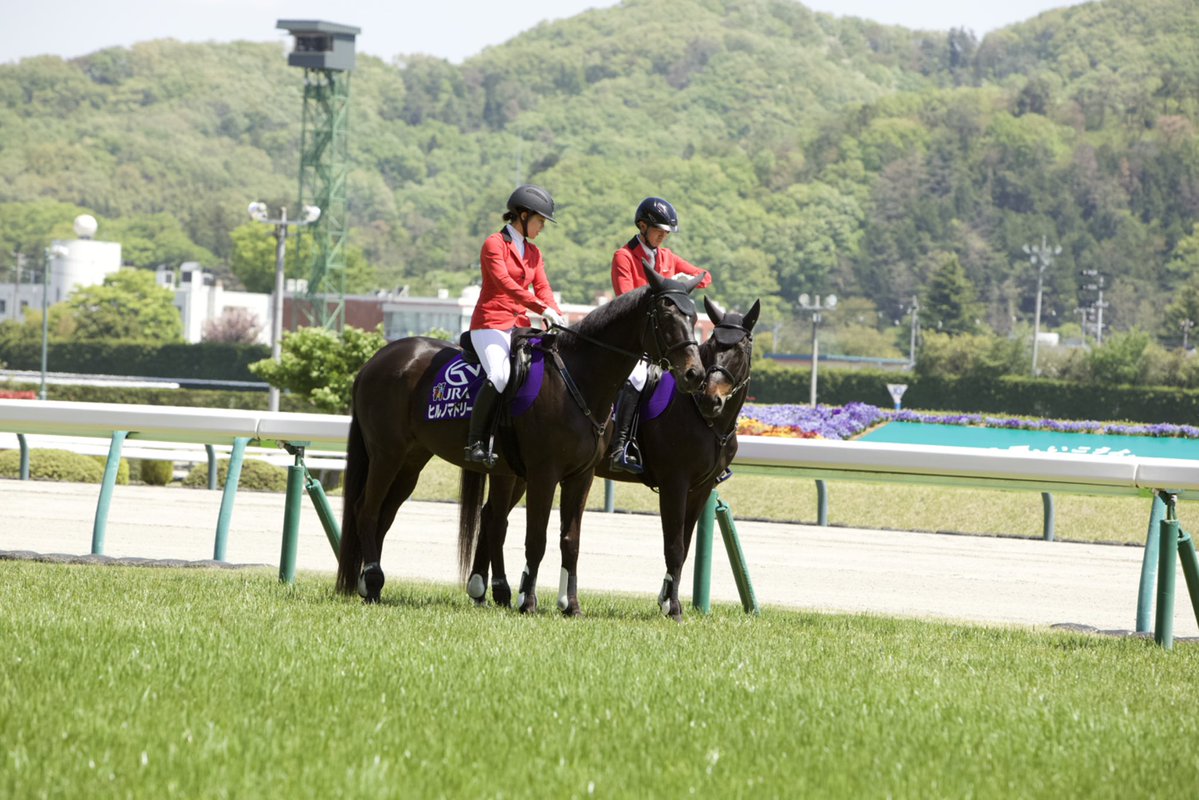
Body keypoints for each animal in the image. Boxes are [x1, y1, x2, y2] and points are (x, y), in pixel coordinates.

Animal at [336, 265, 708, 606]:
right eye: (666, 315)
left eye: (693, 318)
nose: (695, 374)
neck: (579, 378)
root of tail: (377, 360)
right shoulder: (544, 474)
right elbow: (537, 538)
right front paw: (527, 599)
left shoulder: (581, 476)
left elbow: (570, 539)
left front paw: (570, 605)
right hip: (387, 454)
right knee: (366, 509)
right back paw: (373, 579)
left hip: (412, 461)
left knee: (387, 513)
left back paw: (370, 583)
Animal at [463, 295, 758, 620]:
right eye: (714, 345)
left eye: (741, 348)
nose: (709, 397)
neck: (701, 416)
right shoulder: (675, 483)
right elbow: (675, 545)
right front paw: (671, 606)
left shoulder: (700, 489)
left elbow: (685, 543)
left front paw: (669, 599)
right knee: (495, 517)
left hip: (519, 472)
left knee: (491, 515)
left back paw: (483, 590)